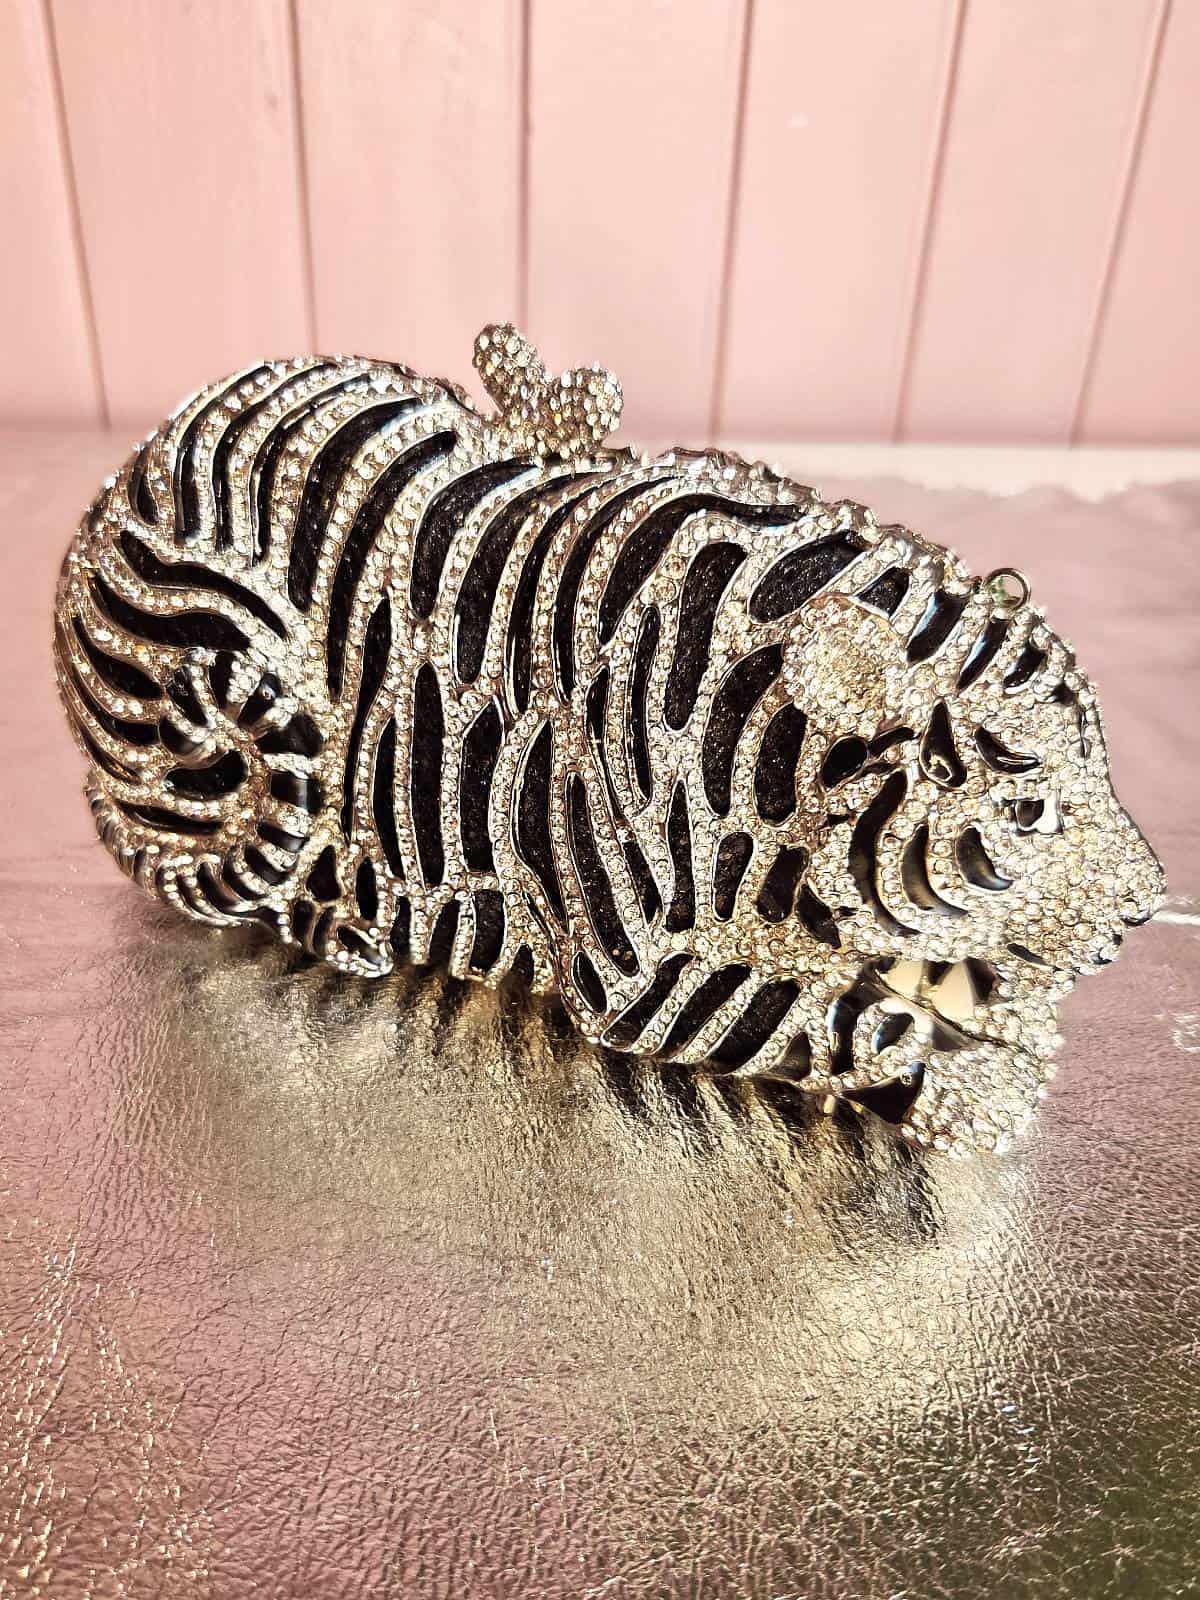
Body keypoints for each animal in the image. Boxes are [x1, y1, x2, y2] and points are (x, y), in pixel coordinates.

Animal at [52, 326, 1163, 1154]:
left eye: (1105, 769)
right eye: (1029, 808)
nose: (1146, 911)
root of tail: (112, 496)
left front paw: (1010, 1013)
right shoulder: (642, 983)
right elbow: (843, 1022)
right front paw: (974, 1089)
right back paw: (341, 920)